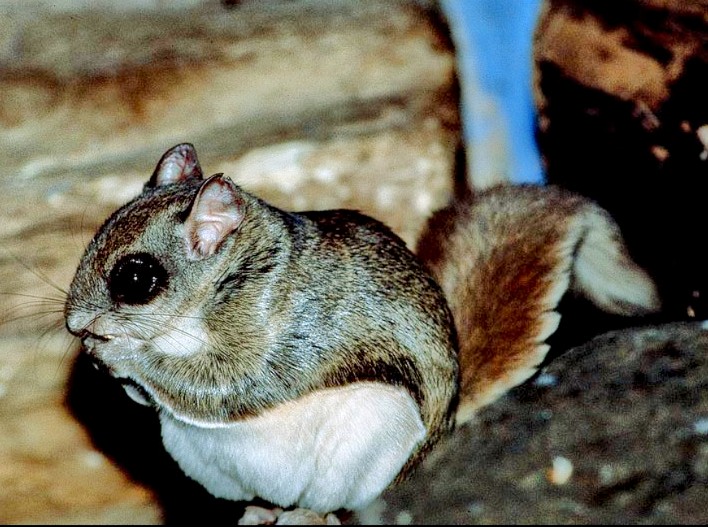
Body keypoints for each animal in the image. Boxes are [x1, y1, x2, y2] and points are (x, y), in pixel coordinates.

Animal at [64, 143, 660, 524]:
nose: (73, 323)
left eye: (136, 278)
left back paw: (309, 515)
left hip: (370, 440)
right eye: (99, 228)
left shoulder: (284, 334)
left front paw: (120, 353)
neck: (229, 277)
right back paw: (262, 511)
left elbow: (227, 383)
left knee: (338, 506)